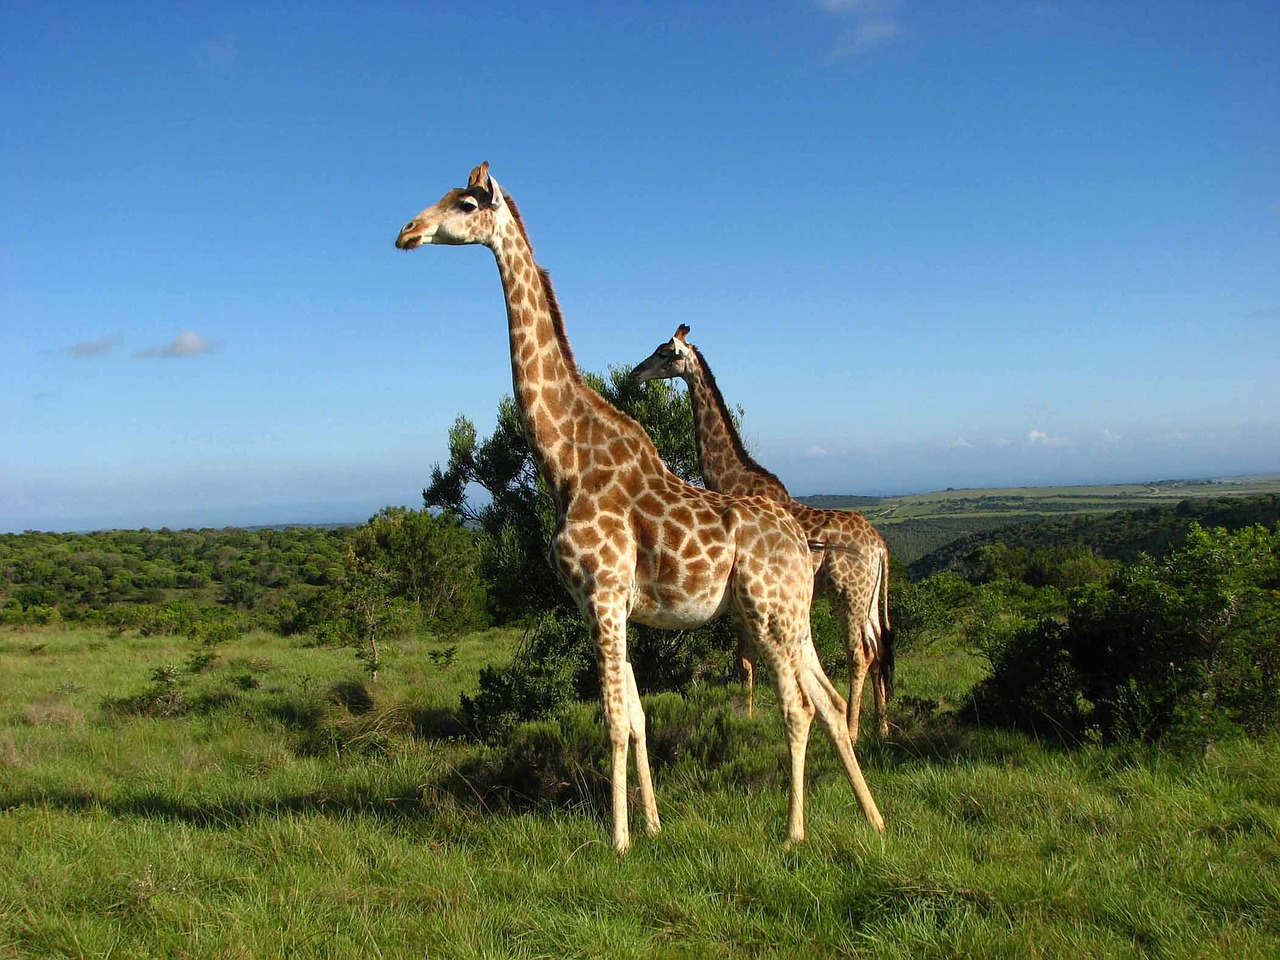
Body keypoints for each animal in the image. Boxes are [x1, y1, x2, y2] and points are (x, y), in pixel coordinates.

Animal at [627, 327, 890, 742]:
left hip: (848, 594)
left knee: (859, 653)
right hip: (868, 599)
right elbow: (747, 661)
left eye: (665, 352)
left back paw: (853, 729)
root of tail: (881, 548)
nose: (635, 373)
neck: (733, 480)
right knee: (879, 647)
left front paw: (746, 721)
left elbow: (744, 662)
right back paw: (882, 727)